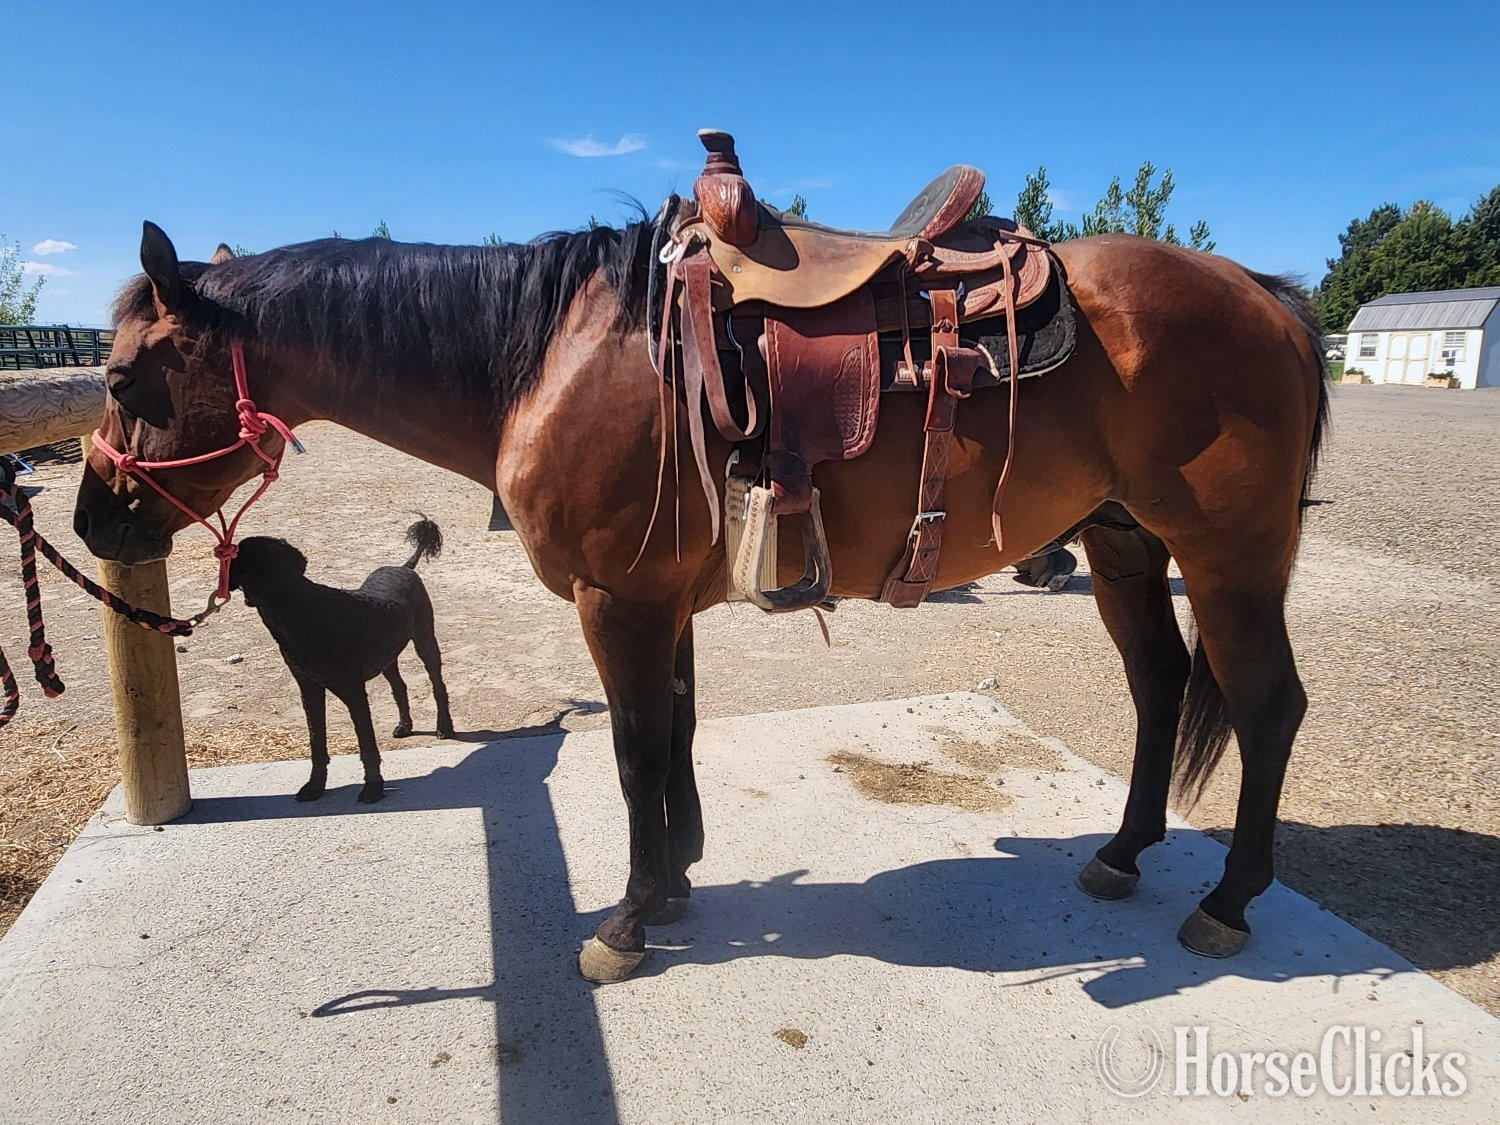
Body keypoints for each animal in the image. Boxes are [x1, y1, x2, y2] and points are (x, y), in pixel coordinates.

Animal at [74, 215, 1327, 983]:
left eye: (127, 377)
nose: (91, 524)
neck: (557, 356)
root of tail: (1264, 293)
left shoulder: (615, 601)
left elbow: (634, 755)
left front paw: (626, 920)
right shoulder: (659, 602)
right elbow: (669, 737)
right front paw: (674, 883)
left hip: (1232, 558)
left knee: (1270, 708)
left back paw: (1230, 899)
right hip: (1125, 548)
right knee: (1160, 685)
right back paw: (1123, 851)